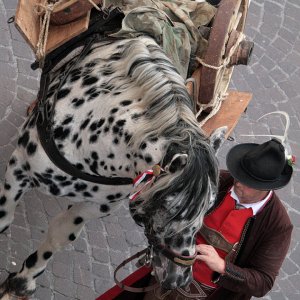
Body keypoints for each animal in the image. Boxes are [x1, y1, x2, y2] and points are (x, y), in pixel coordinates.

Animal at [0, 15, 225, 300]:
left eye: (209, 208)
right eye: (170, 208)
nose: (179, 279)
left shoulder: (91, 207)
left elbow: (58, 238)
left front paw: (22, 282)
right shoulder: (20, 167)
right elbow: (4, 217)